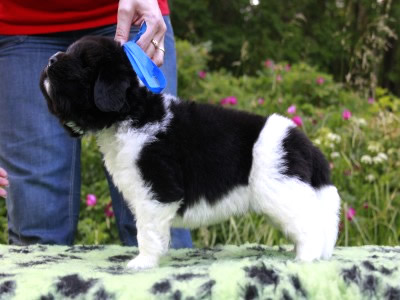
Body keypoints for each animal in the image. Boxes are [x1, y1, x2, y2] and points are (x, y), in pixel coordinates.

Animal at [39, 35, 340, 270]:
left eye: (83, 62)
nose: (51, 60)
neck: (132, 112)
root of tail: (305, 143)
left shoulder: (157, 190)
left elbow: (146, 231)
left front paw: (143, 262)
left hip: (281, 191)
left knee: (311, 227)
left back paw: (304, 259)